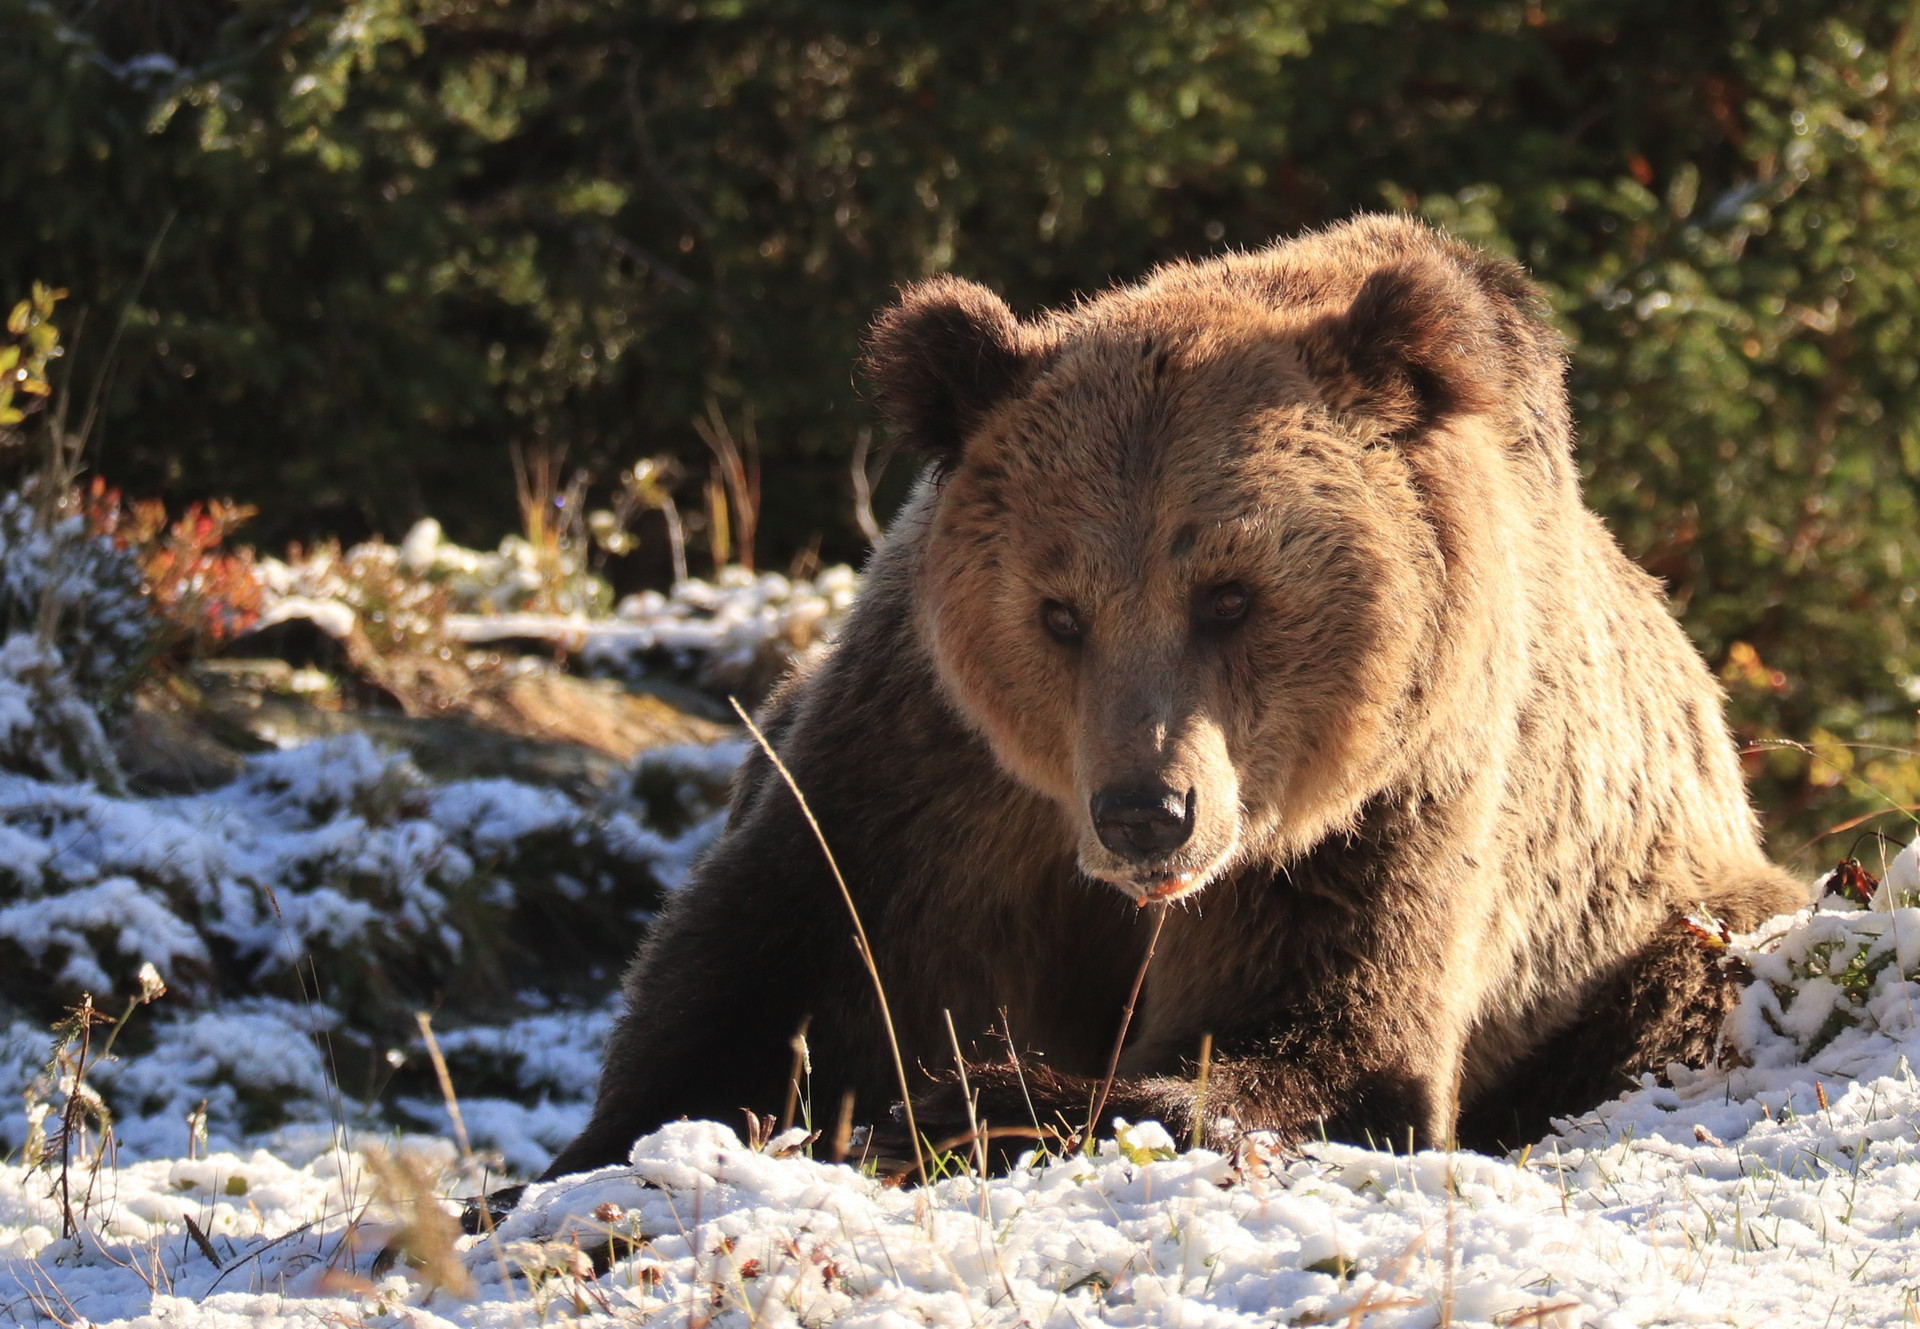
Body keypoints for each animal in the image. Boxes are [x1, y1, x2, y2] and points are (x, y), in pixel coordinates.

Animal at [540, 214, 1806, 1180]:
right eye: (1059, 611)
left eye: (1230, 594)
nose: (1147, 812)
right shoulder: (931, 761)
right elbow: (773, 957)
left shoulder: (1391, 799)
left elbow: (1326, 1047)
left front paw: (975, 1099)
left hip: (1656, 910)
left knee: (1703, 978)